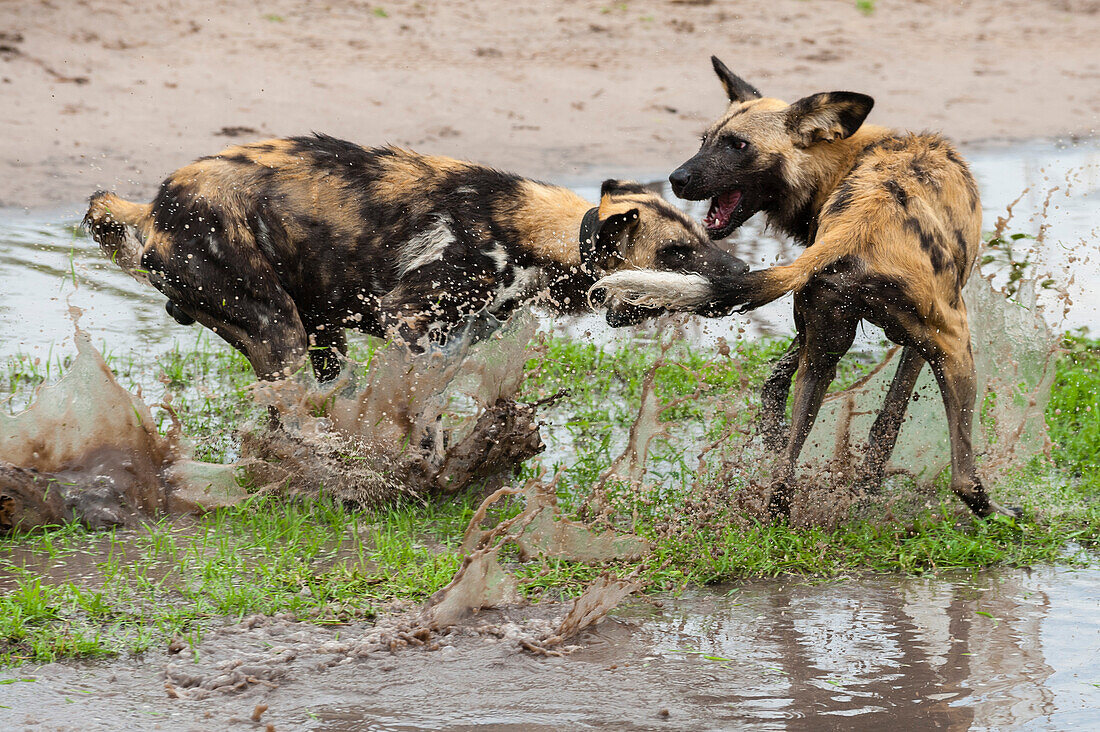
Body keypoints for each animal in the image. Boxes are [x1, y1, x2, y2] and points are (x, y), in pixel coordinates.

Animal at [81, 132, 743, 383]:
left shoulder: (460, 335)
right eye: (677, 251)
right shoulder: (411, 321)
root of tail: (156, 206)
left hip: (318, 335)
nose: (739, 274)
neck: (533, 238)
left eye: (702, 238)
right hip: (280, 329)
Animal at [598, 57, 1016, 519]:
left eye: (736, 145)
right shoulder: (920, 346)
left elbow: (774, 388)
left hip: (824, 355)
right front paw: (868, 487)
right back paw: (1003, 515)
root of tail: (862, 221)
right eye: (706, 141)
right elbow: (890, 417)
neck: (847, 161)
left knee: (784, 470)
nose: (677, 178)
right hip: (956, 347)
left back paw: (782, 513)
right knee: (963, 476)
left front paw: (850, 480)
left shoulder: (814, 332)